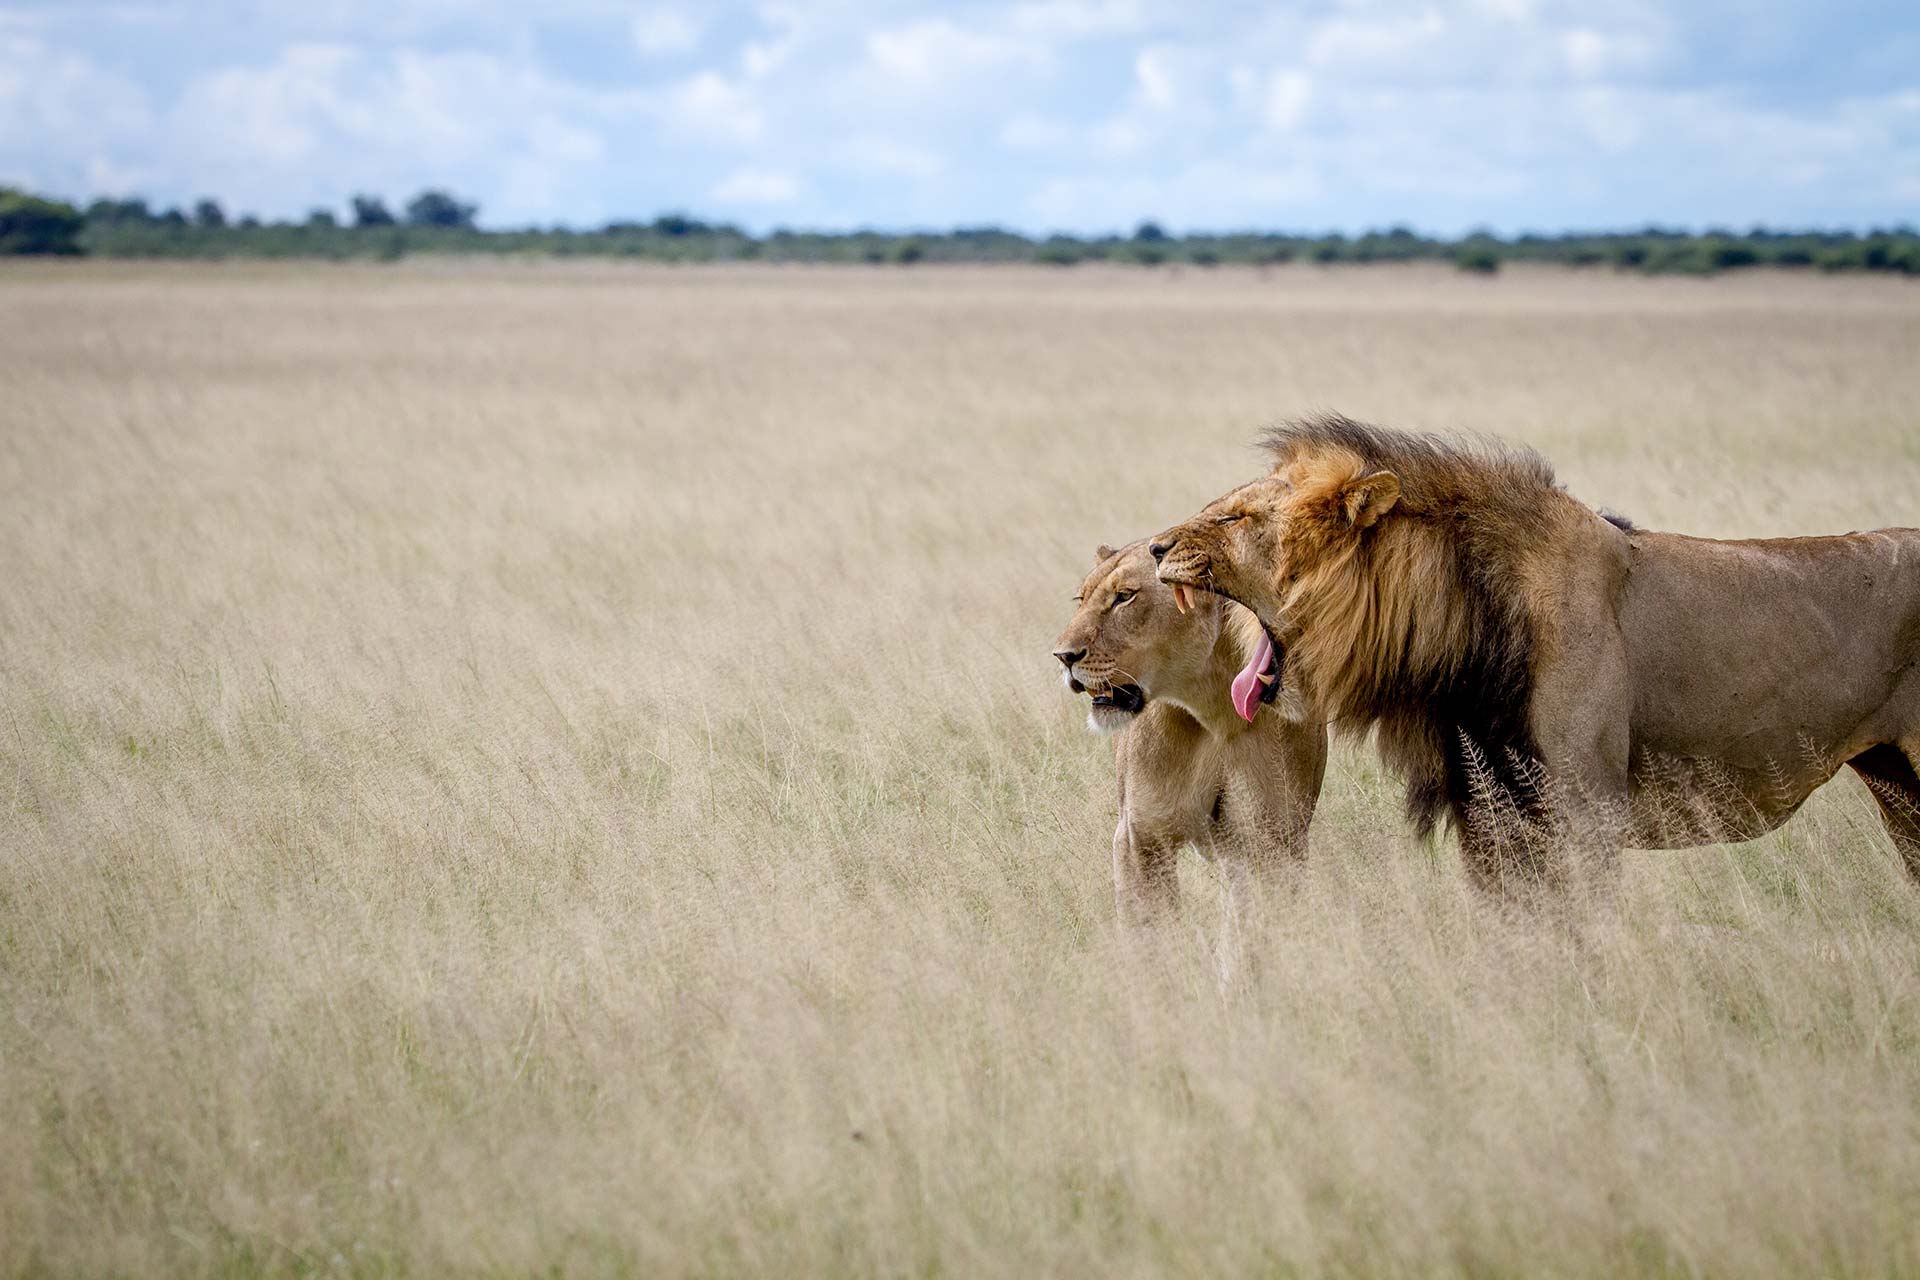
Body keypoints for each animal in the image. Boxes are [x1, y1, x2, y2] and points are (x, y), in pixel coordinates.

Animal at [1059, 541, 1328, 940]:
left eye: (1124, 597)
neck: (1213, 710)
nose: (1063, 656)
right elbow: (1151, 938)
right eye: (1081, 599)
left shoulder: (1274, 843)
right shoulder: (1141, 838)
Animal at [1144, 416, 1912, 886]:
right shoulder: (1491, 817)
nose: (1154, 547)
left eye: (1237, 517)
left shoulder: (1587, 811)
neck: (1456, 631)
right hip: (1899, 785)